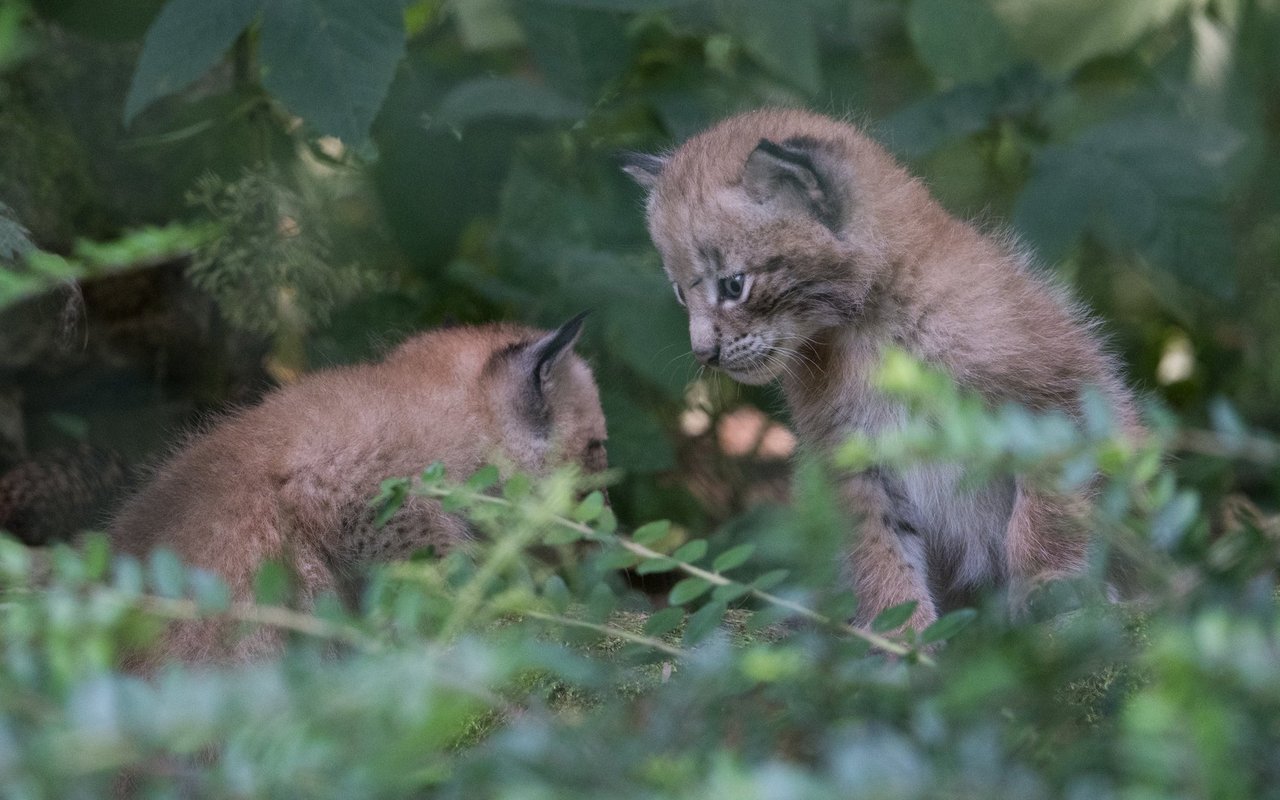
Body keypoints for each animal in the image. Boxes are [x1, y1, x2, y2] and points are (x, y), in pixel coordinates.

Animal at [624, 107, 1136, 629]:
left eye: (733, 285)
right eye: (680, 293)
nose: (703, 354)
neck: (867, 326)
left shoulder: (1059, 392)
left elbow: (1049, 507)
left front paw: (1049, 587)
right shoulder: (850, 452)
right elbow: (877, 543)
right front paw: (900, 629)